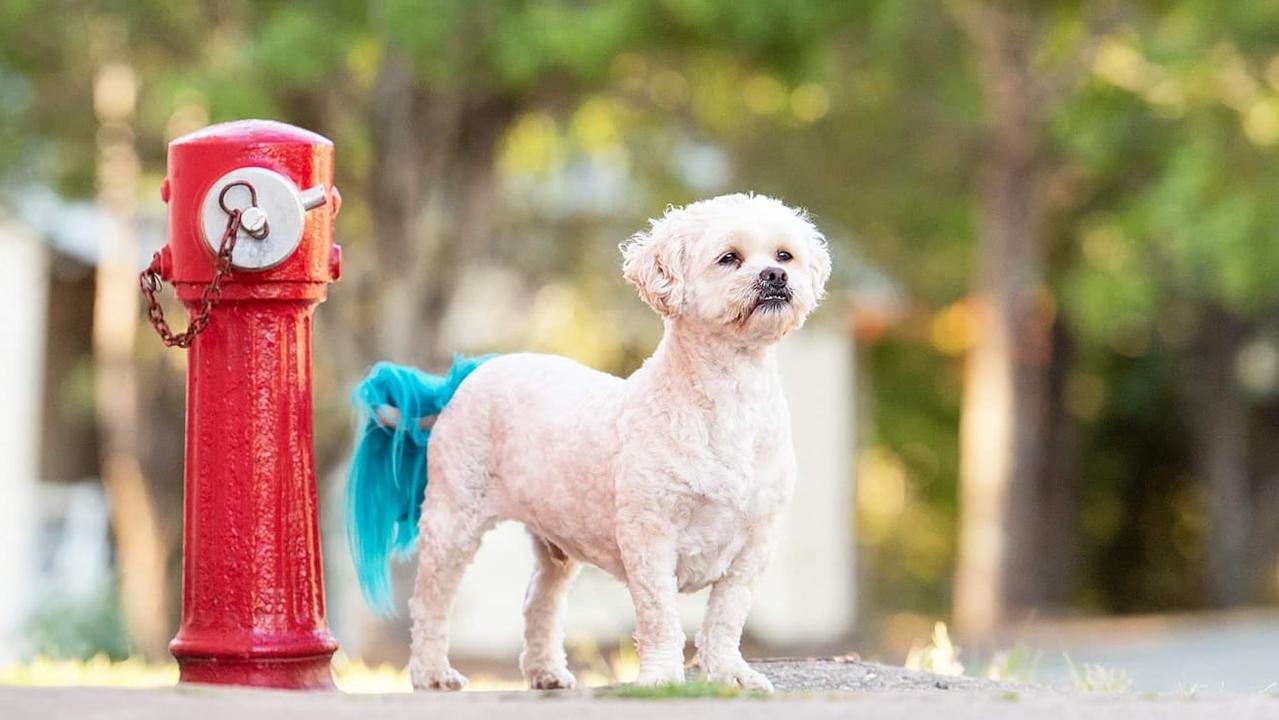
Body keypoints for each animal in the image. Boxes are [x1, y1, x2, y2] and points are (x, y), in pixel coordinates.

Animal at [345, 191, 833, 690]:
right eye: (729, 258)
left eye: (784, 255)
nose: (774, 276)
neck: (729, 396)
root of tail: (466, 377)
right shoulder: (649, 536)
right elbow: (660, 616)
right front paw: (662, 678)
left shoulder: (754, 544)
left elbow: (725, 617)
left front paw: (731, 674)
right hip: (452, 519)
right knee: (431, 602)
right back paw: (432, 673)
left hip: (554, 545)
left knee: (538, 599)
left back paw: (545, 672)